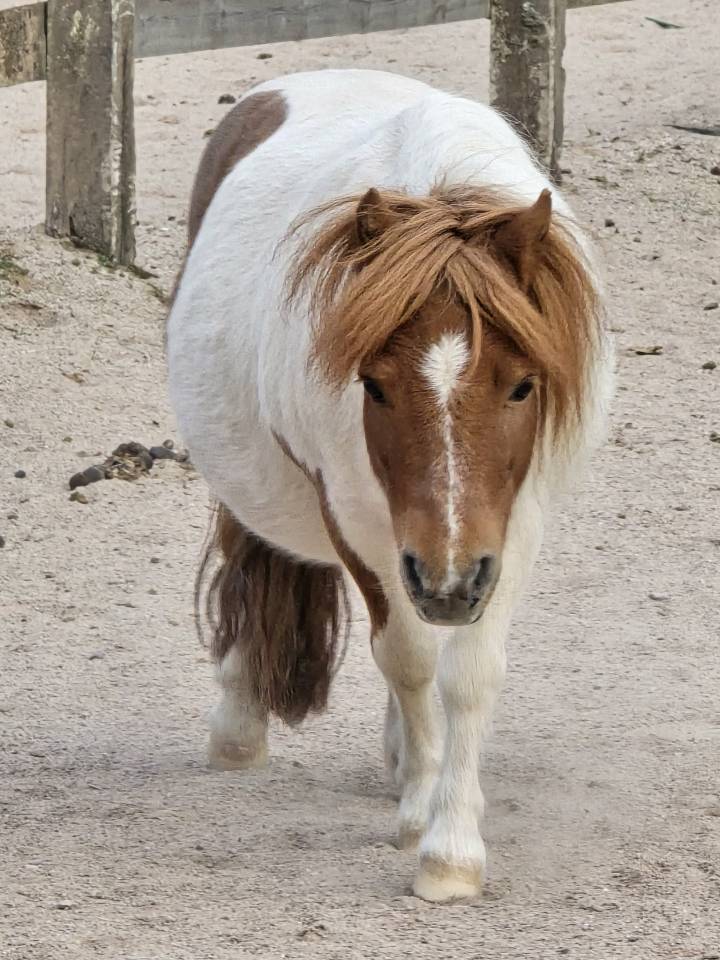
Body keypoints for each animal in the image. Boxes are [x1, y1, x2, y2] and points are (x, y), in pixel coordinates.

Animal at [166, 68, 613, 902]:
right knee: (250, 554)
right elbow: (406, 655)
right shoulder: (357, 518)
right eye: (372, 385)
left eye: (522, 386)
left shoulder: (509, 529)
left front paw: (452, 845)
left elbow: (467, 675)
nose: (448, 584)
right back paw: (242, 723)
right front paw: (421, 820)